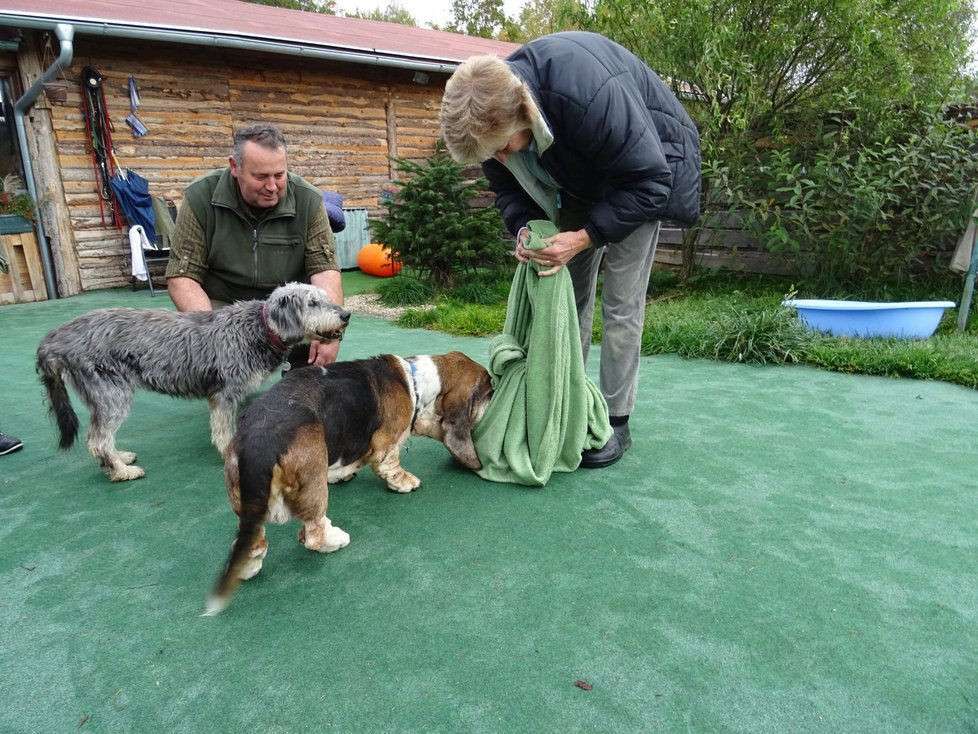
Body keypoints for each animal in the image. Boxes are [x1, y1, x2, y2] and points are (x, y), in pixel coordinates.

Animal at [38, 282, 350, 484]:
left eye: (323, 297)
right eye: (312, 303)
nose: (346, 315)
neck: (259, 329)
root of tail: (55, 339)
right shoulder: (224, 395)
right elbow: (224, 432)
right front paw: (229, 454)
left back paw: (119, 459)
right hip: (113, 396)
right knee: (98, 440)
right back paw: (120, 472)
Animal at [203, 352, 492, 616]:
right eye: (489, 391)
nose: (495, 395)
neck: (416, 382)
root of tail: (259, 441)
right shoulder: (387, 446)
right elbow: (390, 464)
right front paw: (405, 482)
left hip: (246, 500)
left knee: (249, 541)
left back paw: (248, 567)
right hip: (312, 482)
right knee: (313, 534)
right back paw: (336, 540)